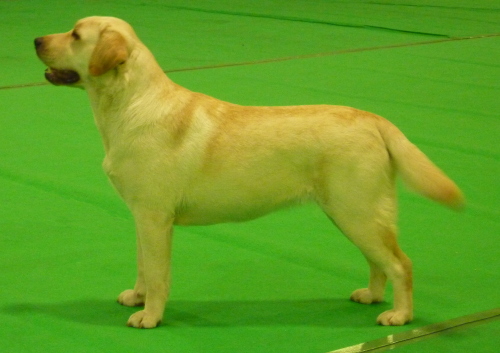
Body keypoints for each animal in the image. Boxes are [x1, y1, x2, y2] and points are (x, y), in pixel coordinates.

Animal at [35, 16, 464, 328]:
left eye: (75, 35)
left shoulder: (155, 218)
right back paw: (372, 296)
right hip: (350, 213)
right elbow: (144, 266)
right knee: (379, 262)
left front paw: (150, 316)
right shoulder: (143, 217)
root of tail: (373, 119)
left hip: (357, 212)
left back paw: (399, 315)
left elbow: (157, 274)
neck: (130, 102)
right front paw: (137, 297)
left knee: (401, 264)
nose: (37, 40)